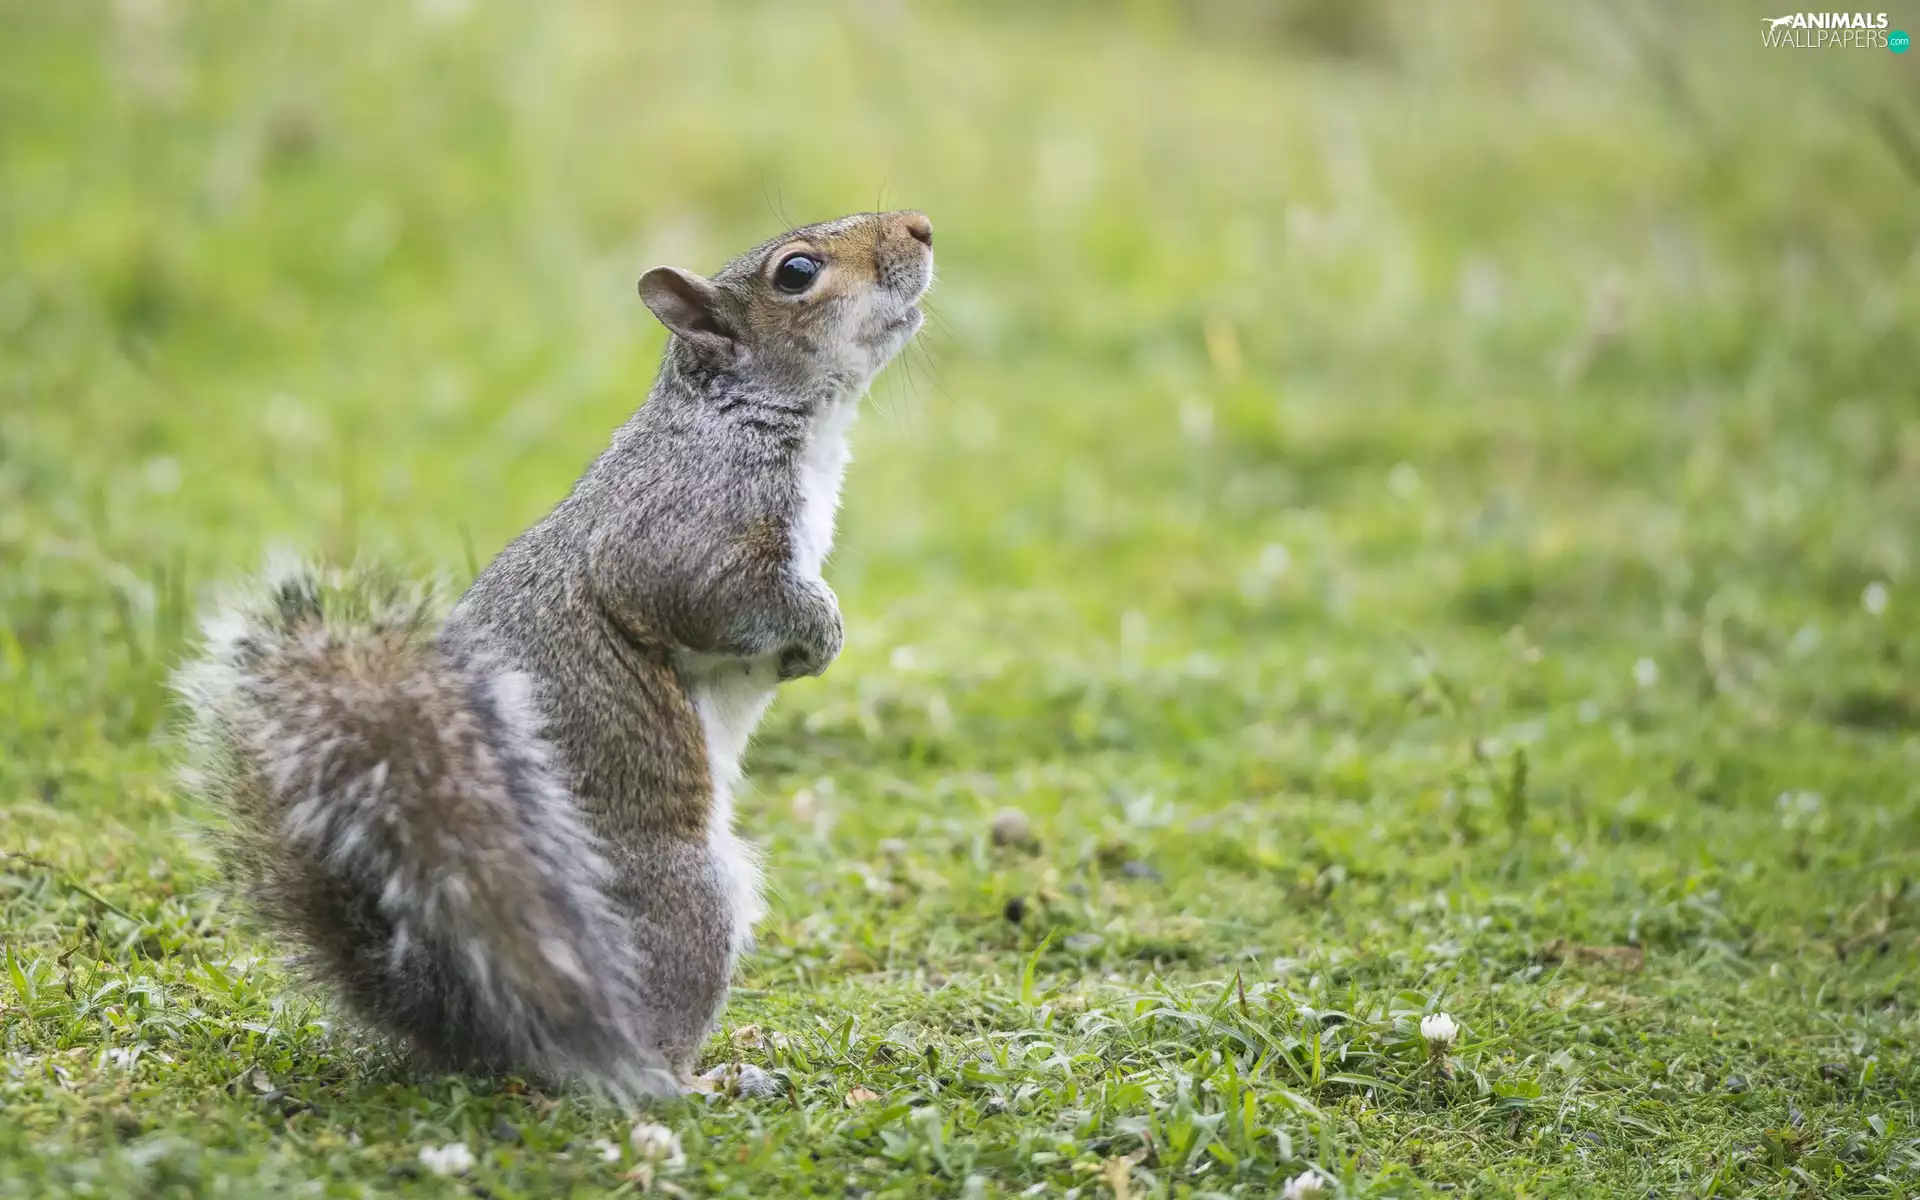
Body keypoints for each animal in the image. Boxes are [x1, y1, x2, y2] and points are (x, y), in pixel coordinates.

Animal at [176, 210, 935, 1097]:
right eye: (797, 273)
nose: (920, 226)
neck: (750, 415)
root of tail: (483, 1022)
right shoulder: (686, 526)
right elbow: (714, 598)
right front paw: (821, 629)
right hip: (683, 897)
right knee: (645, 1053)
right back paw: (706, 1079)